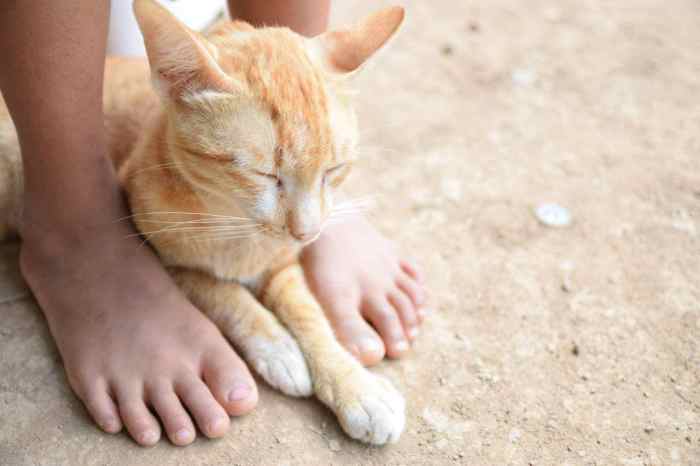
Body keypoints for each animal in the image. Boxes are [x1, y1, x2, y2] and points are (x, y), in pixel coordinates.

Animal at [0, 0, 408, 444]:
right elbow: (225, 295)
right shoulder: (164, 257)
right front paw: (278, 347)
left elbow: (309, 314)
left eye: (333, 171)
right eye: (266, 175)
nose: (307, 232)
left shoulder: (282, 264)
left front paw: (354, 384)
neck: (232, 225)